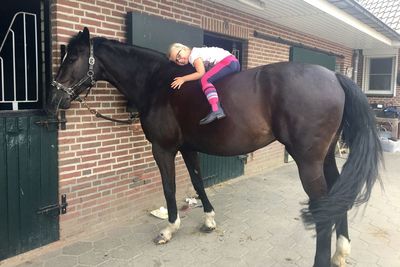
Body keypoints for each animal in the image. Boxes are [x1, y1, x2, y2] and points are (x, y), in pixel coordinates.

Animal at [48, 27, 382, 267]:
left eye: (73, 57)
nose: (55, 99)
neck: (158, 83)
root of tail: (335, 76)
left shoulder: (163, 149)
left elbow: (169, 187)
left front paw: (169, 228)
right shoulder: (188, 148)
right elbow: (197, 181)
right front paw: (208, 219)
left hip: (308, 162)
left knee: (324, 206)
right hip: (325, 158)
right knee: (338, 195)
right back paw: (340, 252)